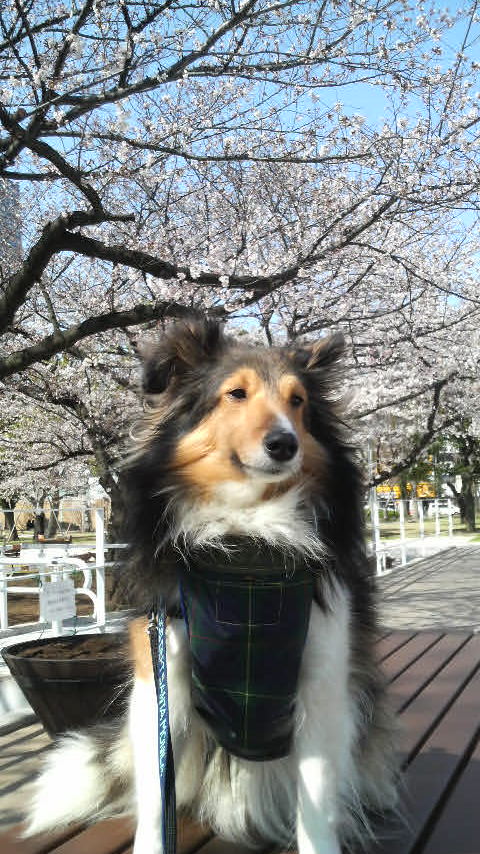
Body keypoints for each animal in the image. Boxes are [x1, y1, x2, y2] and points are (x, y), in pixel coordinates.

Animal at [26, 317, 397, 854]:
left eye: (298, 401)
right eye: (235, 394)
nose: (285, 444)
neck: (247, 551)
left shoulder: (323, 682)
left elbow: (316, 811)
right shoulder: (162, 680)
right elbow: (155, 804)